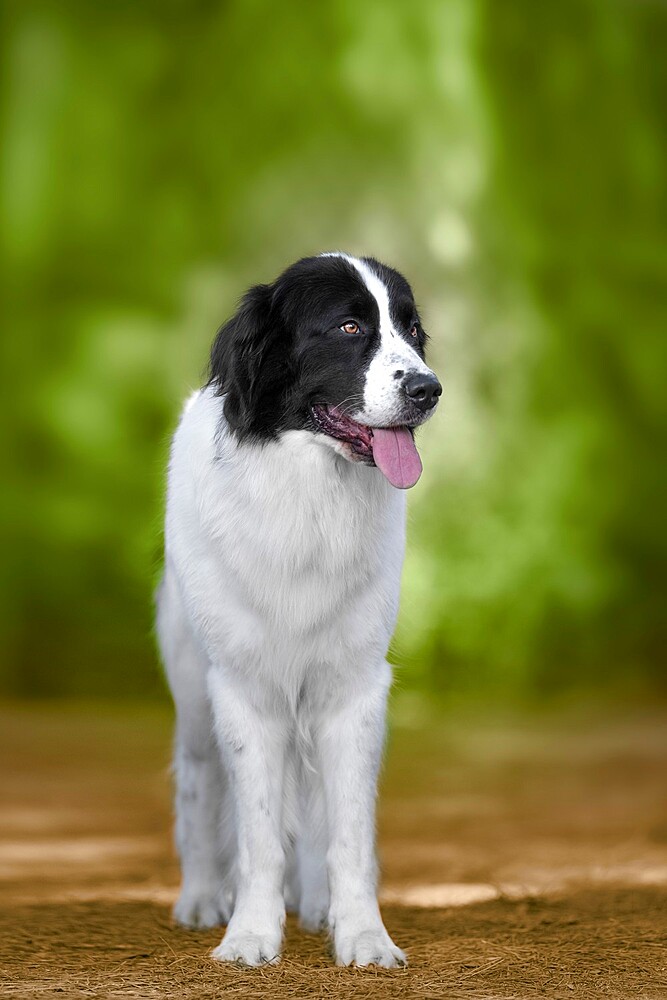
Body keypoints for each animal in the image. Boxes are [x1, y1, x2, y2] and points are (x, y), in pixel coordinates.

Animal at [157, 250, 444, 968]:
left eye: (411, 330)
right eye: (348, 327)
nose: (428, 389)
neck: (310, 494)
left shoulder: (353, 690)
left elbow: (348, 832)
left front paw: (362, 934)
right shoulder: (243, 691)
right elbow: (258, 832)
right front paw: (250, 935)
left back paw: (315, 904)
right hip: (194, 696)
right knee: (198, 786)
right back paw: (201, 898)